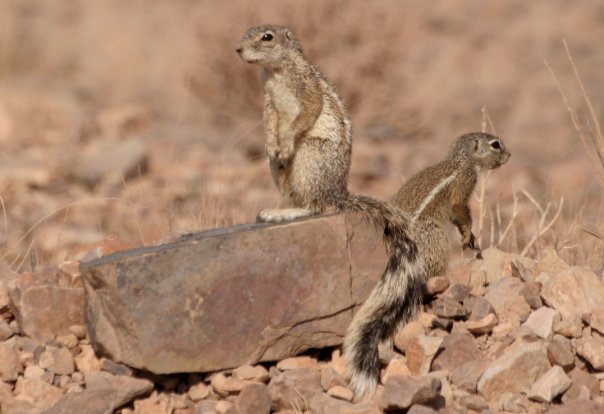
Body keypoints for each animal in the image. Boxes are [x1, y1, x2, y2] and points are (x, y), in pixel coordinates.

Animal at [344, 132, 510, 394]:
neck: (461, 160)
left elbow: (459, 219)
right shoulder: (464, 184)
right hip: (436, 242)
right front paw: (467, 235)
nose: (509, 155)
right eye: (495, 145)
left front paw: (471, 238)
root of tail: (397, 247)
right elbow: (461, 210)